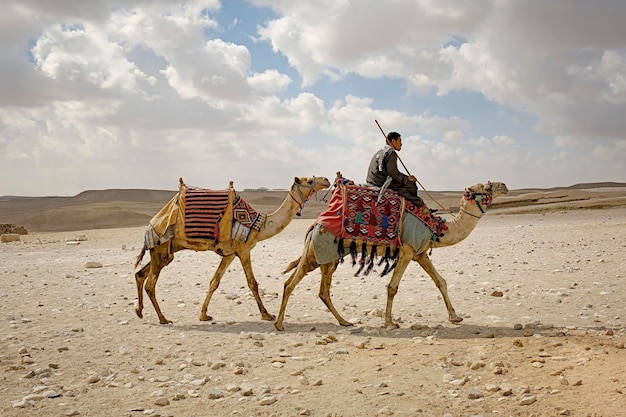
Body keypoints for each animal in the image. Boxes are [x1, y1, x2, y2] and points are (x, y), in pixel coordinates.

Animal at [133, 174, 330, 324]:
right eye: (309, 181)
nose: (326, 180)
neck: (259, 226)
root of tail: (151, 225)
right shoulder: (243, 250)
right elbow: (252, 283)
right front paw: (266, 314)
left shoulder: (229, 254)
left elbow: (214, 282)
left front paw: (204, 314)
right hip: (161, 248)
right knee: (150, 284)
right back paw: (163, 319)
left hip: (166, 252)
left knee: (140, 274)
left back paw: (140, 311)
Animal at [272, 180, 508, 330]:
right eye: (487, 186)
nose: (504, 185)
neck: (437, 228)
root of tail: (313, 226)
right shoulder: (407, 250)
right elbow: (392, 286)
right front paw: (389, 322)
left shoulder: (420, 253)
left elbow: (440, 281)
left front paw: (455, 317)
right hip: (316, 253)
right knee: (290, 284)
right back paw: (279, 323)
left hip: (327, 257)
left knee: (322, 291)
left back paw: (345, 322)